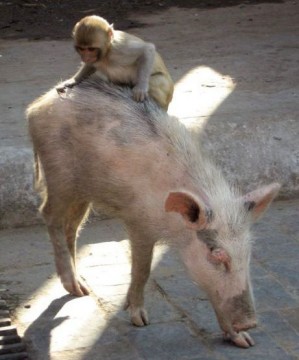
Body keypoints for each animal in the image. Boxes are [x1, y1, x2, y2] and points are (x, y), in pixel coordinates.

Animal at [25, 78, 282, 348]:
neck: (173, 224)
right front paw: (140, 320)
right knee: (49, 215)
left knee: (72, 226)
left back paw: (82, 289)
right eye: (216, 254)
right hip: (58, 173)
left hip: (83, 190)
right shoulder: (139, 221)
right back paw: (74, 286)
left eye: (248, 254)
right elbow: (143, 269)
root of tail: (36, 106)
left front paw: (245, 342)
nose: (251, 323)